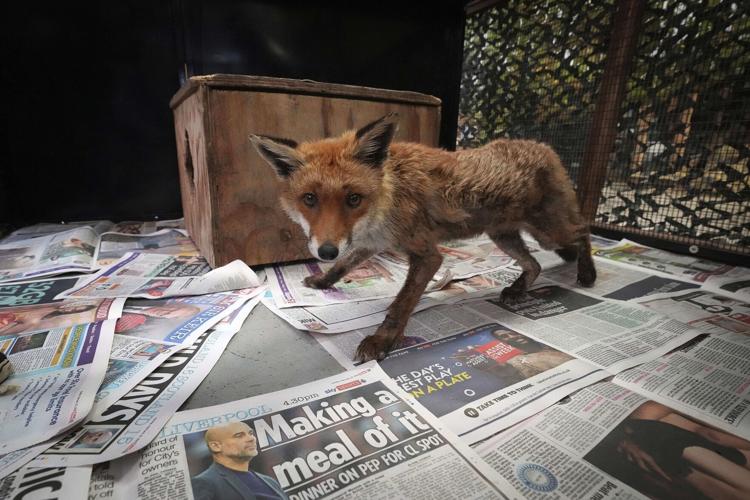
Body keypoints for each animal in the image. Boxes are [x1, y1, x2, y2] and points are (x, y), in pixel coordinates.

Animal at [250, 113, 596, 362]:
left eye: (353, 199)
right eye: (309, 199)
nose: (325, 250)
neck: (387, 197)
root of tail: (545, 146)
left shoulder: (427, 255)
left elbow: (400, 305)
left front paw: (382, 340)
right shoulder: (370, 242)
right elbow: (344, 265)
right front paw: (323, 280)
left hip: (548, 232)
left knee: (582, 231)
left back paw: (587, 271)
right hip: (504, 236)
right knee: (535, 264)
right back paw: (518, 288)